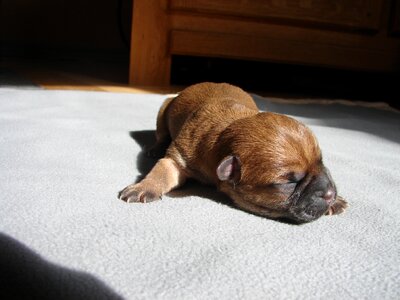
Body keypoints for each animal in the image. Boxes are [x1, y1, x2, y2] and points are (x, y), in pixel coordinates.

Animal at [119, 82, 346, 223]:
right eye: (289, 183)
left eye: (322, 161)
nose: (330, 193)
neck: (228, 127)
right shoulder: (178, 157)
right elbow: (161, 172)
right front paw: (143, 187)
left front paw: (337, 201)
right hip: (163, 110)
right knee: (161, 135)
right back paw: (155, 148)